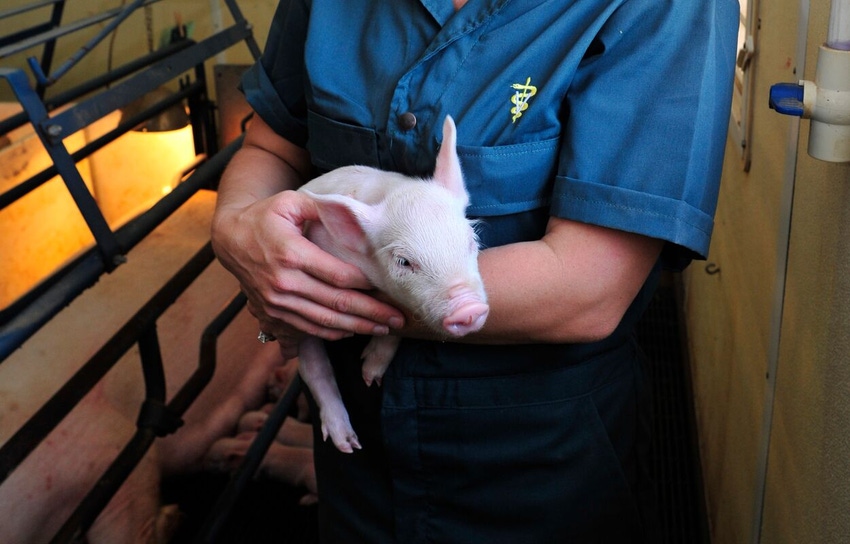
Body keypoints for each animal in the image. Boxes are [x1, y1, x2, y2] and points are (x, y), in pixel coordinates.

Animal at [294, 117, 486, 452]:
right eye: (404, 262)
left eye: (471, 240)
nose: (469, 308)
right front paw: (367, 380)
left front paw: (370, 375)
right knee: (312, 364)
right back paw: (348, 444)